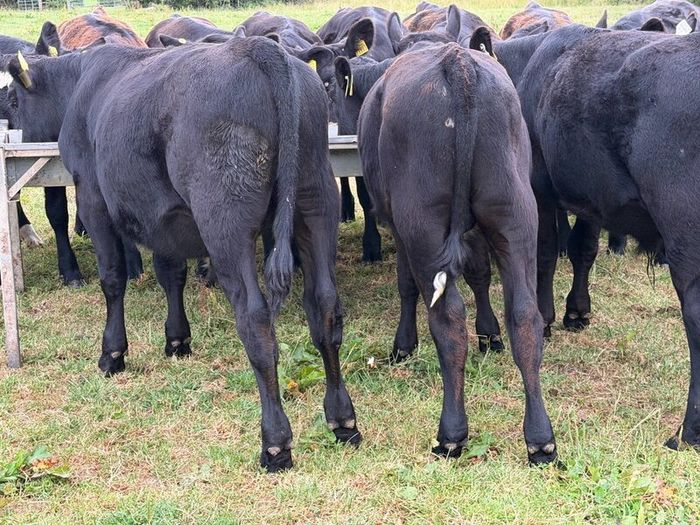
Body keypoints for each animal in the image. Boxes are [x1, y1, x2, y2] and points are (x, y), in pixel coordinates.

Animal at [4, 34, 359, 472]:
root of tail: (261, 50)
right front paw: (177, 341)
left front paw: (113, 353)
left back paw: (275, 443)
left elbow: (112, 278)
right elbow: (171, 273)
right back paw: (342, 420)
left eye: (13, 99)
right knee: (325, 306)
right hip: (316, 200)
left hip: (225, 220)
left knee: (255, 320)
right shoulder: (164, 215)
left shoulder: (92, 196)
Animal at [353, 42, 556, 463]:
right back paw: (540, 438)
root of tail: (455, 60)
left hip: (422, 224)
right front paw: (490, 335)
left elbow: (406, 285)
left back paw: (451, 433)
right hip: (515, 214)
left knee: (447, 319)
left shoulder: (399, 227)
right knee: (525, 314)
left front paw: (403, 345)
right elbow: (480, 274)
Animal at [489, 24, 700, 450]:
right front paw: (577, 311)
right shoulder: (591, 196)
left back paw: (687, 432)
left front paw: (547, 316)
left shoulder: (539, 185)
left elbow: (546, 253)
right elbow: (583, 250)